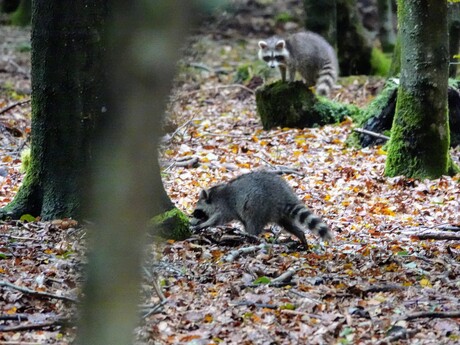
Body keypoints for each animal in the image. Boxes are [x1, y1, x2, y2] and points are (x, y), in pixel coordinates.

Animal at [189, 170, 332, 247]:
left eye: (197, 213)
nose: (191, 222)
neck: (213, 196)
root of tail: (284, 196)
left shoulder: (225, 206)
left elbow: (218, 219)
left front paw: (204, 224)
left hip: (259, 205)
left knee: (253, 222)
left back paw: (250, 238)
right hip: (278, 212)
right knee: (288, 225)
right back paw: (301, 236)